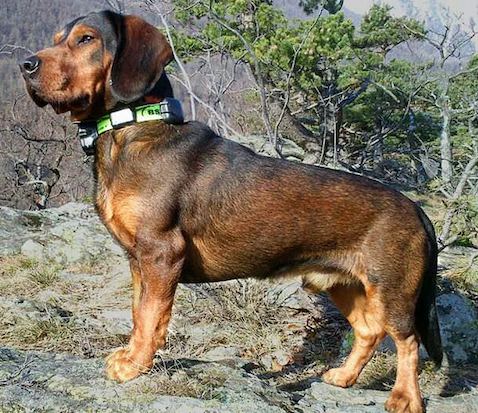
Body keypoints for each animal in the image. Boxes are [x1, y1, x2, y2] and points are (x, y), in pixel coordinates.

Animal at [20, 10, 442, 412]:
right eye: (57, 39)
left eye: (86, 39)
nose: (26, 65)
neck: (131, 130)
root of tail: (418, 212)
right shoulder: (138, 260)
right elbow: (139, 314)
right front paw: (132, 355)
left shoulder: (161, 253)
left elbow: (151, 317)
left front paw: (135, 365)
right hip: (342, 284)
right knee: (369, 331)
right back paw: (343, 377)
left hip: (392, 290)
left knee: (407, 341)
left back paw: (405, 398)